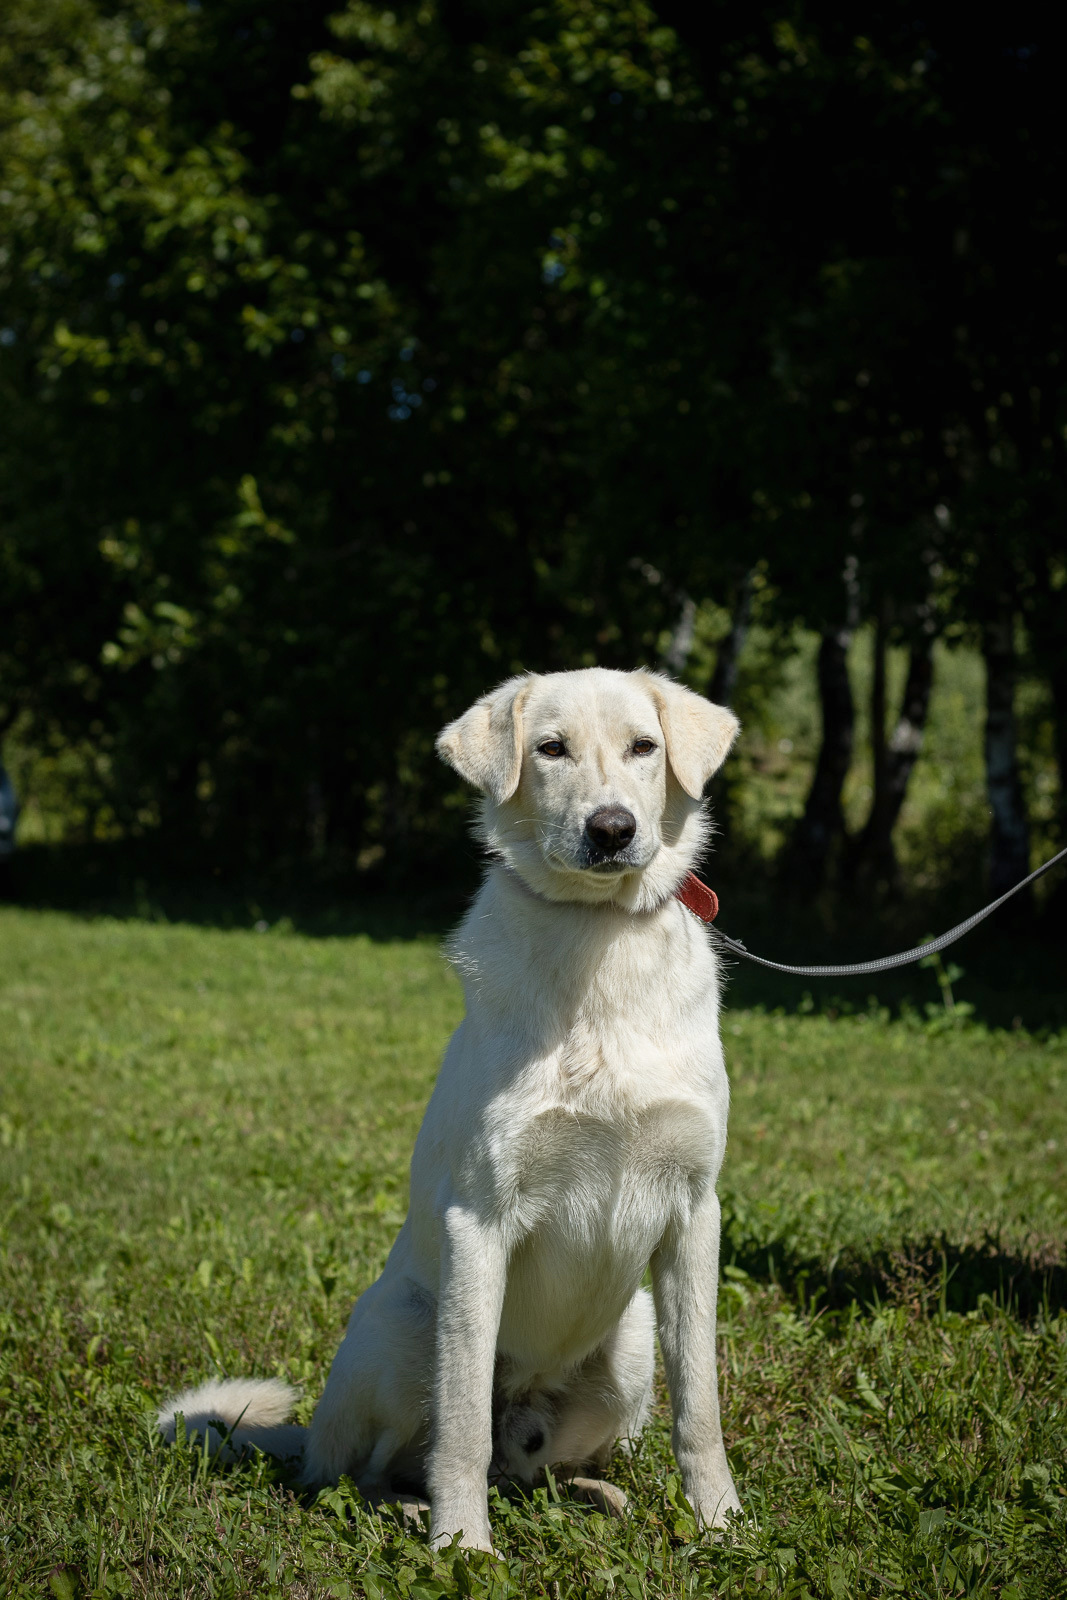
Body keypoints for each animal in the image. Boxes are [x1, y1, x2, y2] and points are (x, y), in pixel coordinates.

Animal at [160, 665, 742, 1548]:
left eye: (644, 746)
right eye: (550, 748)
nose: (611, 829)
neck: (598, 943)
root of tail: (306, 1434)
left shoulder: (691, 1214)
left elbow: (700, 1407)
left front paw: (720, 1523)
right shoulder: (481, 1220)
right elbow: (463, 1422)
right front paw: (463, 1547)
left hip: (632, 1340)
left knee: (532, 1471)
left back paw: (595, 1494)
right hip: (402, 1333)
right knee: (368, 1469)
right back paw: (410, 1508)